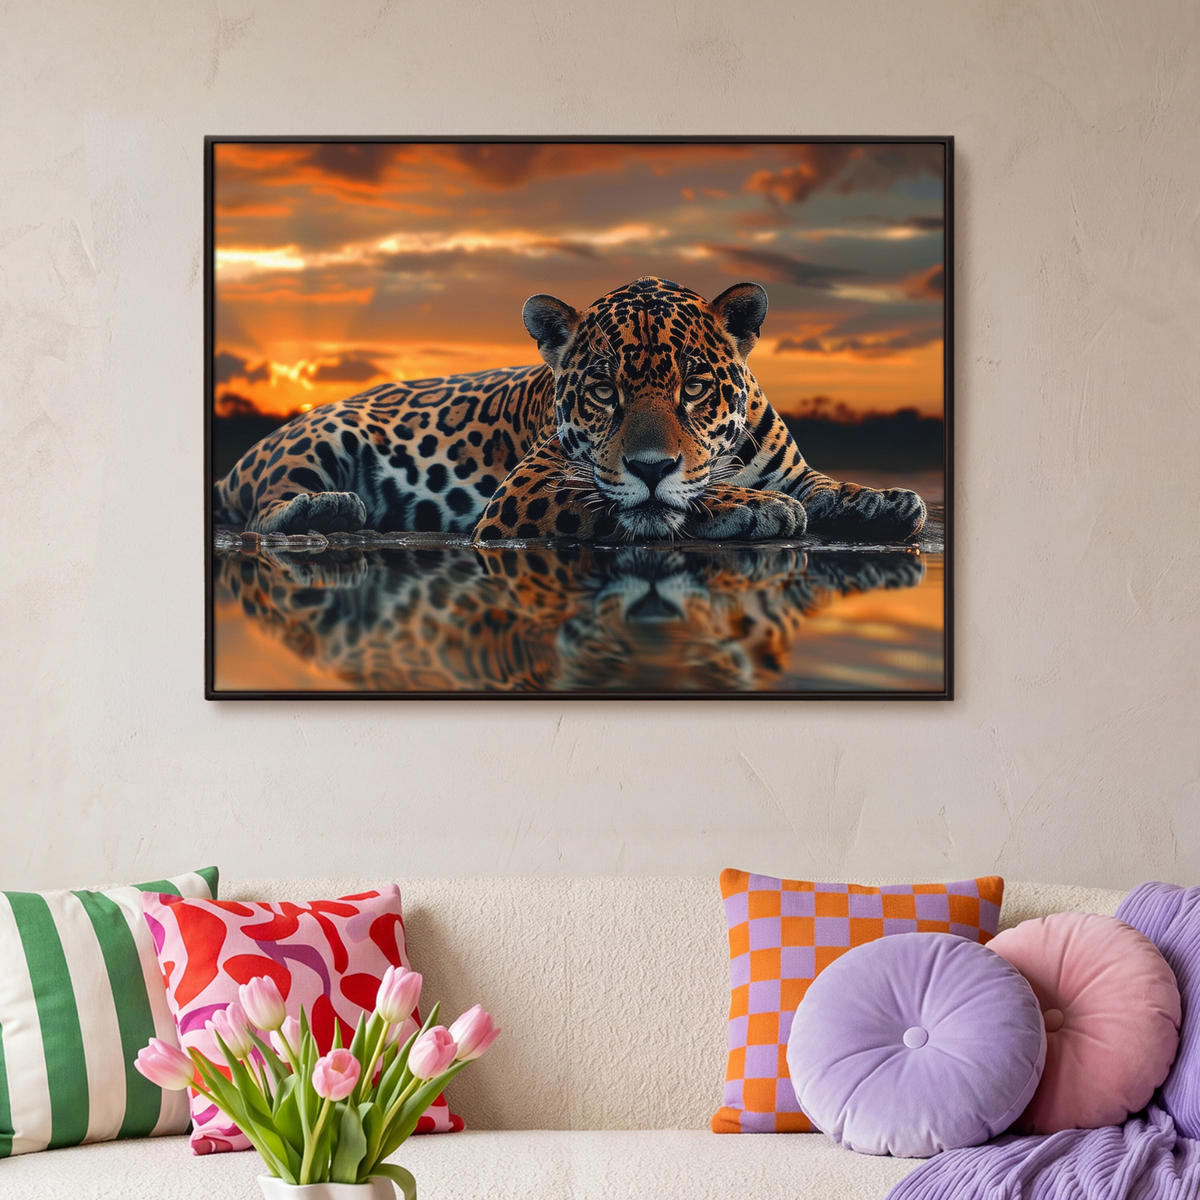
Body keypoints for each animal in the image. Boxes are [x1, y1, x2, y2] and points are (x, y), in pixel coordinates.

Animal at [213, 277, 927, 544]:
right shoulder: (529, 489)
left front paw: (886, 500)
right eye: (604, 391)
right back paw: (330, 508)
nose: (650, 465)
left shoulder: (794, 469)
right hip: (319, 437)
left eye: (694, 387)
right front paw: (754, 508)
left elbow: (828, 485)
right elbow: (661, 500)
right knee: (263, 508)